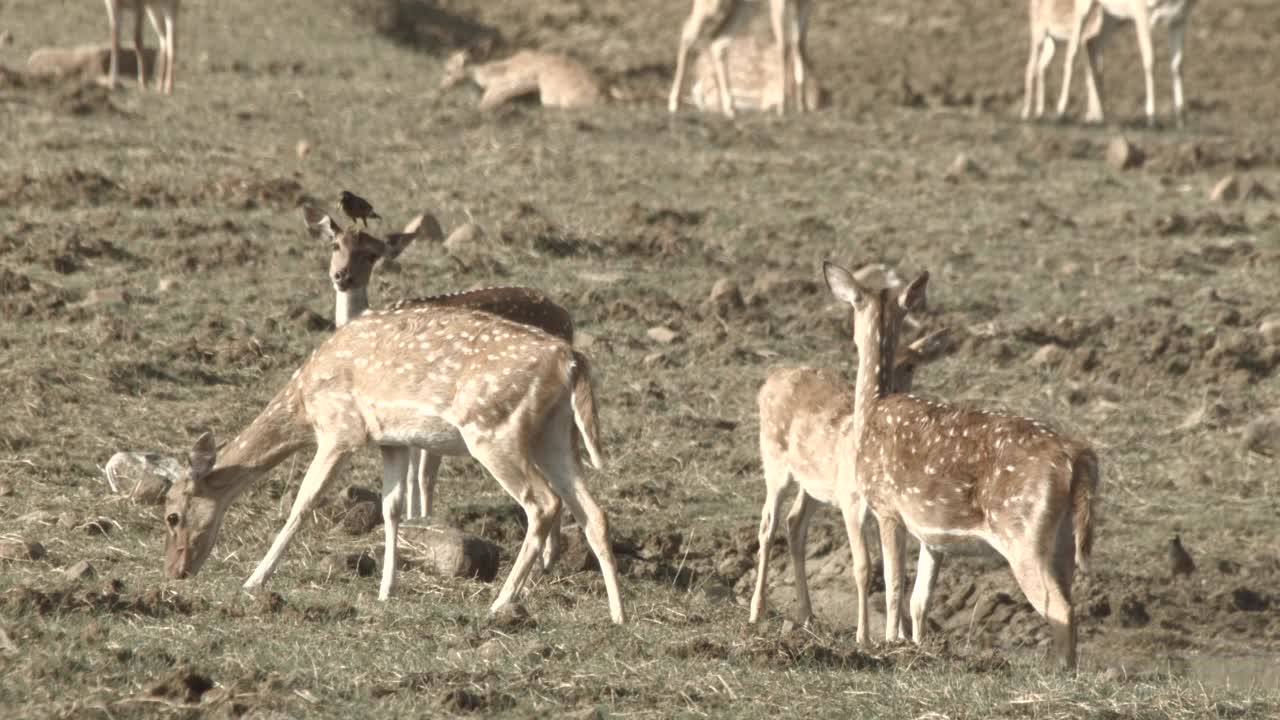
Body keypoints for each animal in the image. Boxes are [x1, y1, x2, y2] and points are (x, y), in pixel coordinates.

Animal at [161, 294, 624, 620]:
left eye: (171, 514)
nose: (175, 570)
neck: (304, 402)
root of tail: (571, 360)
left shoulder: (340, 430)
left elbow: (303, 503)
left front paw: (254, 579)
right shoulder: (394, 441)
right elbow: (391, 508)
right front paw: (387, 590)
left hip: (494, 430)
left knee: (543, 503)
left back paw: (500, 603)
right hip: (554, 434)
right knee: (593, 512)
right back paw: (617, 614)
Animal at [670, 0, 808, 116]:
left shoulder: (806, 4)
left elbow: (800, 43)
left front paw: (802, 107)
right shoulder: (779, 3)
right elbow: (783, 45)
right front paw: (782, 106)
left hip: (742, 7)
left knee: (718, 41)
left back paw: (730, 109)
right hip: (713, 8)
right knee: (687, 32)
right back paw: (674, 103)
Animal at [819, 258, 1100, 666]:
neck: (872, 407)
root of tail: (1077, 457)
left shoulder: (887, 506)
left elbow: (892, 583)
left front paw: (889, 644)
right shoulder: (931, 531)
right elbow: (920, 597)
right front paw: (917, 647)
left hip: (1022, 531)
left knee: (1059, 608)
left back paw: (1059, 671)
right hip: (1063, 538)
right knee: (1067, 601)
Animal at [1054, 0, 1192, 126]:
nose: (1152, 3)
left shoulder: (1179, 20)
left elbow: (1178, 65)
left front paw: (1181, 118)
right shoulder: (1142, 16)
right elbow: (1150, 62)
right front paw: (1151, 117)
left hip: (1112, 16)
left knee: (1093, 44)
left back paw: (1101, 115)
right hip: (1084, 9)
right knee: (1073, 50)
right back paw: (1060, 112)